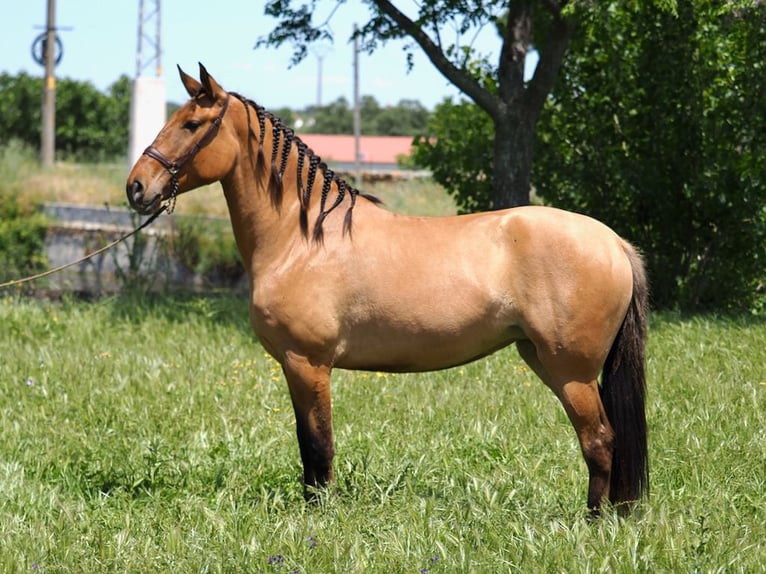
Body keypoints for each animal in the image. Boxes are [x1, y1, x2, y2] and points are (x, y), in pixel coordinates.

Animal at [127, 65, 656, 516]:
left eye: (192, 124)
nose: (136, 188)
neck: (301, 238)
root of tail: (612, 242)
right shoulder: (297, 368)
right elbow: (307, 444)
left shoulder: (308, 364)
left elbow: (317, 446)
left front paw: (317, 517)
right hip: (546, 360)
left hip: (572, 371)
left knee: (599, 440)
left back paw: (592, 522)